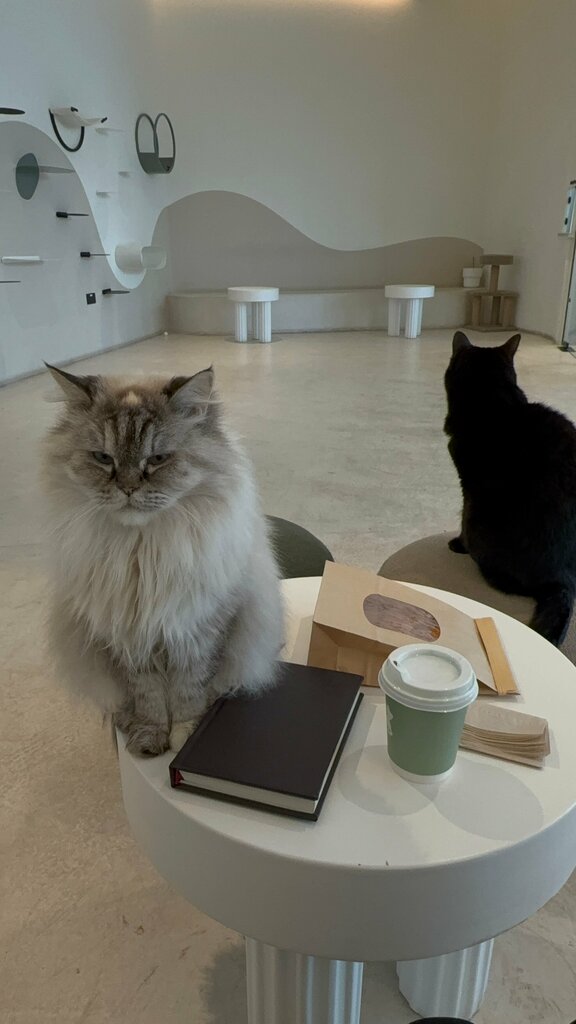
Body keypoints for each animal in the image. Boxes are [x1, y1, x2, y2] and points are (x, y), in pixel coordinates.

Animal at [43, 363, 284, 756]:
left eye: (157, 460)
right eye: (103, 458)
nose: (127, 488)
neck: (143, 551)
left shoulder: (200, 631)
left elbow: (190, 694)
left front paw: (185, 739)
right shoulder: (129, 638)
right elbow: (150, 698)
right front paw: (151, 738)